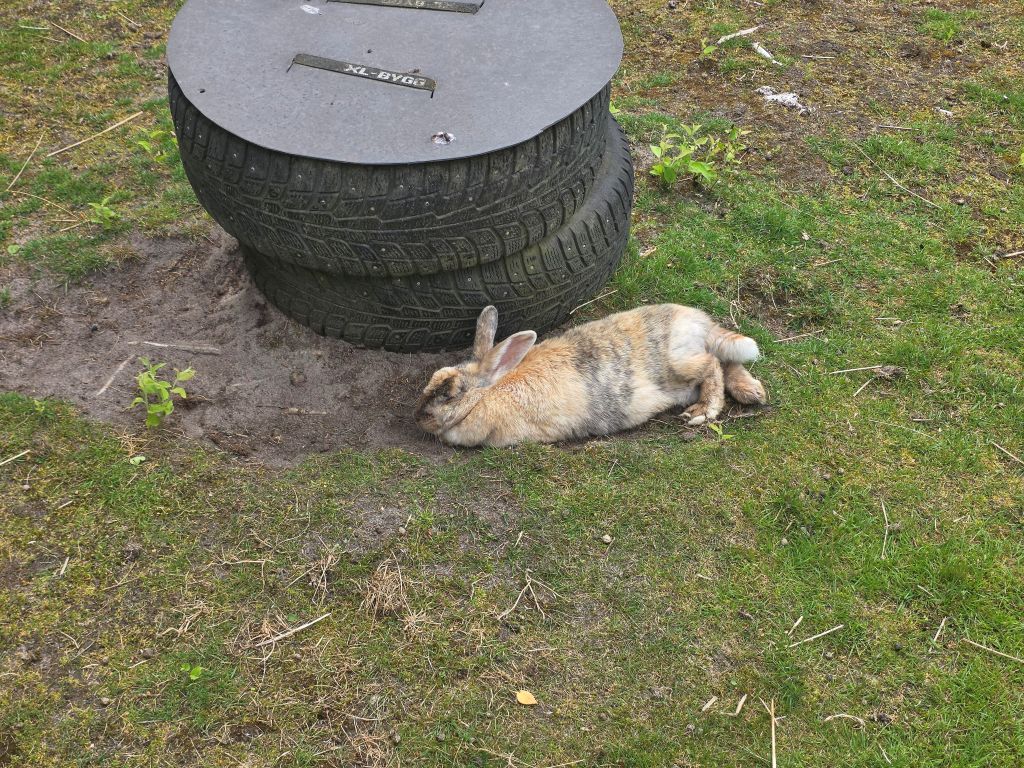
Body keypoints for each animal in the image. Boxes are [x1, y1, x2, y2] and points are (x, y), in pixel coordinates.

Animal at [415, 304, 767, 448]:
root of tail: (698, 322)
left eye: (449, 393)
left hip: (679, 366)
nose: (418, 418)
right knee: (727, 362)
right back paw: (753, 392)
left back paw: (703, 412)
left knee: (712, 364)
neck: (488, 393)